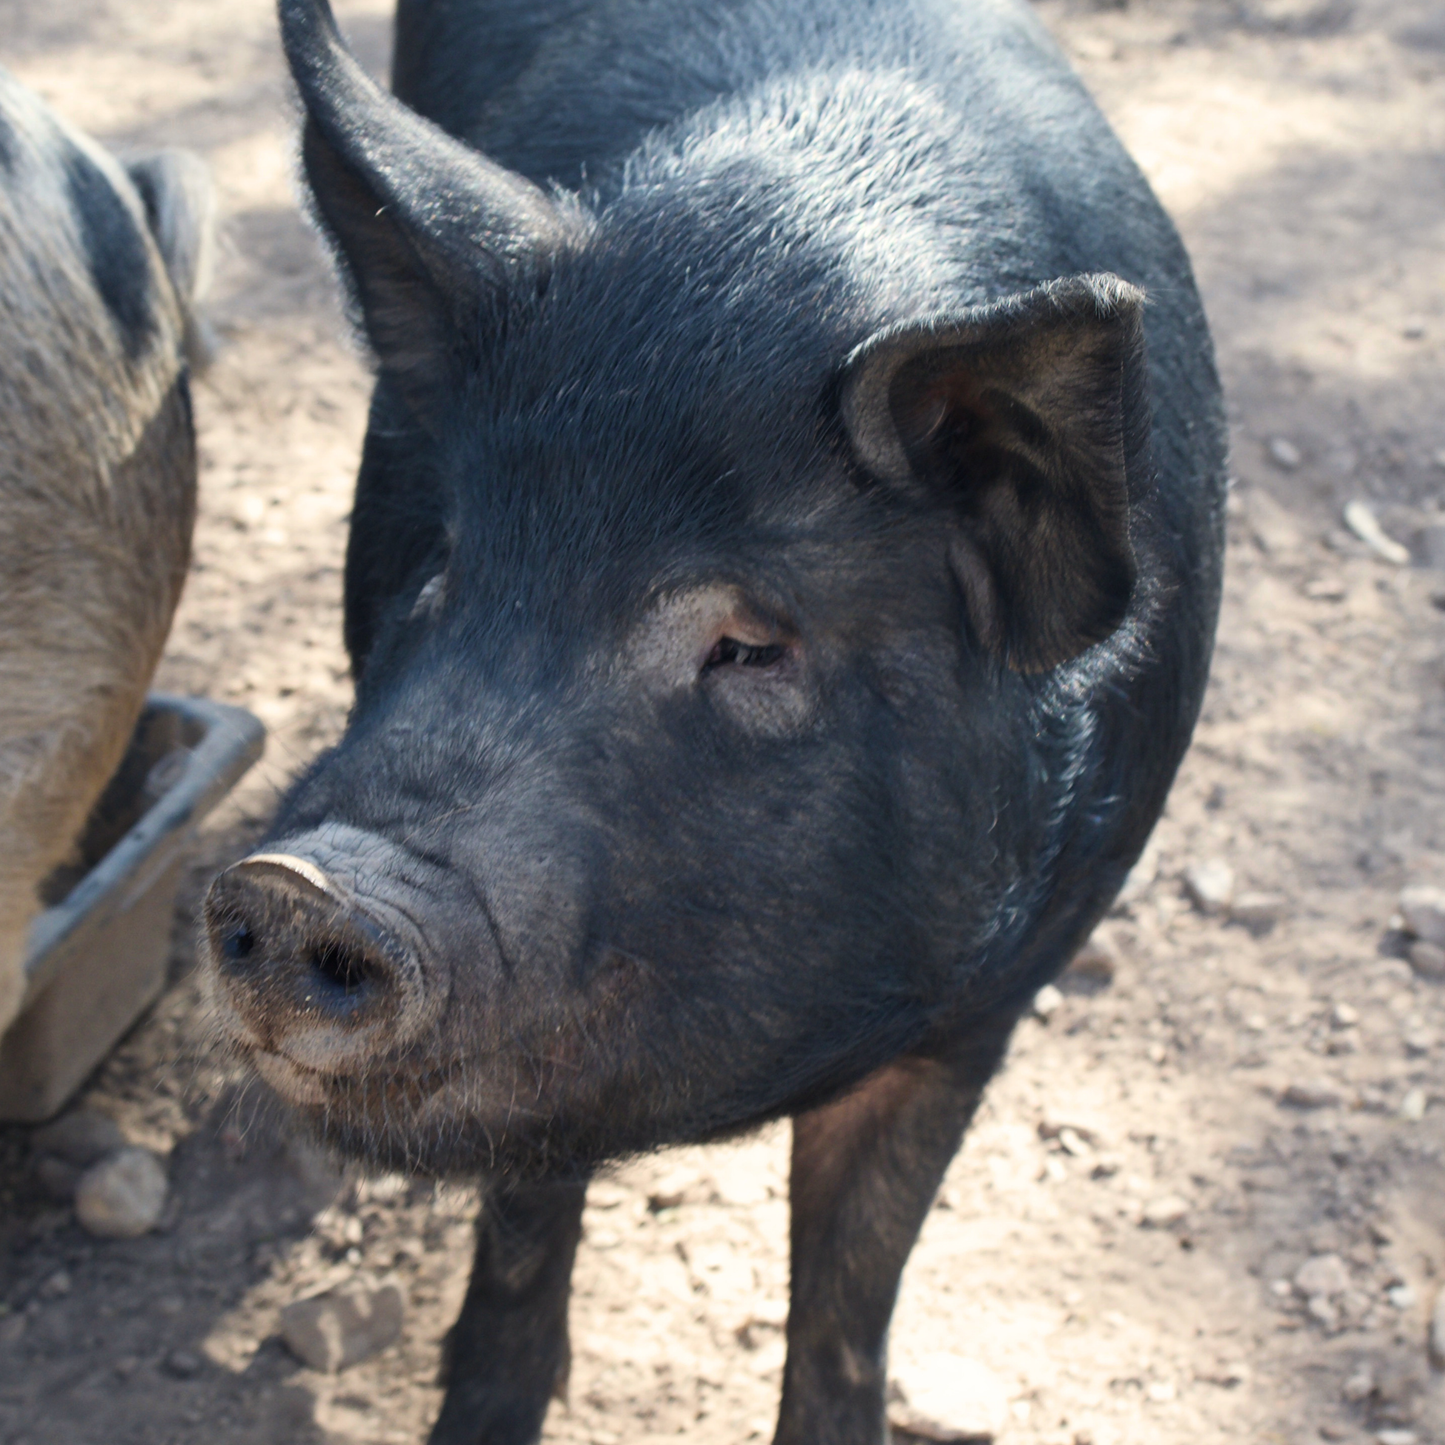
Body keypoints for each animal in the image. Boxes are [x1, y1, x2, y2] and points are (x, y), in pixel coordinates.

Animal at [202, 0, 1226, 1439]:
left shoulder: (985, 1007)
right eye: (443, 568)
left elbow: (853, 1289)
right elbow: (523, 1224)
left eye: (747, 644)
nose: (302, 885)